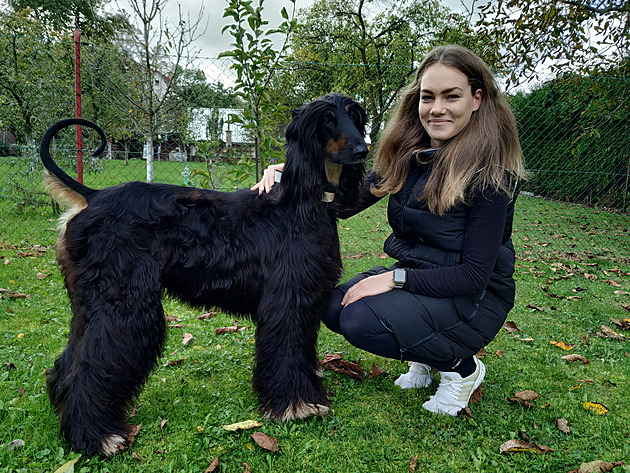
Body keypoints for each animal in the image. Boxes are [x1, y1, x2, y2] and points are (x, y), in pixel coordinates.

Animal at [43, 94, 370, 456]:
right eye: (327, 120)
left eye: (354, 116)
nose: (363, 150)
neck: (300, 205)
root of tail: (94, 195)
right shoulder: (288, 301)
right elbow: (287, 351)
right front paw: (295, 405)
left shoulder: (307, 301)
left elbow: (302, 351)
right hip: (121, 301)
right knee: (90, 364)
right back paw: (97, 435)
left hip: (91, 300)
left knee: (70, 360)